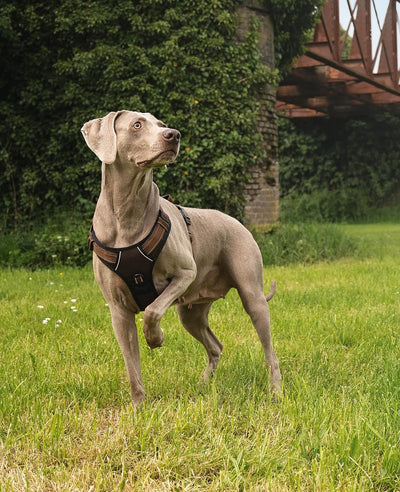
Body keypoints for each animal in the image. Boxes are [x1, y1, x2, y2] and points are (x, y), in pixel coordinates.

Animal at [81, 110, 282, 404]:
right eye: (137, 125)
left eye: (162, 124)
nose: (173, 135)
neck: (127, 213)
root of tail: (239, 222)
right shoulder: (118, 310)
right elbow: (132, 367)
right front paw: (139, 407)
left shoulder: (186, 273)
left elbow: (152, 310)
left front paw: (155, 338)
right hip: (192, 313)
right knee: (215, 346)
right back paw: (203, 384)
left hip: (252, 296)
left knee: (270, 353)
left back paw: (275, 391)